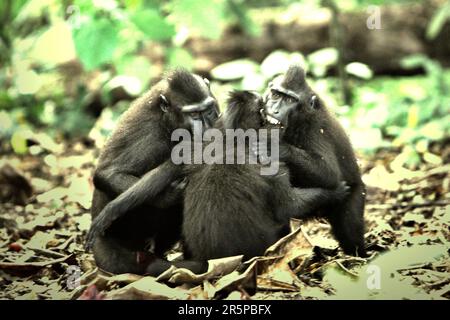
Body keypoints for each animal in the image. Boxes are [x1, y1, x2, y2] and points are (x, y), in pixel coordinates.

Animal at [87, 69, 220, 274]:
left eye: (208, 110)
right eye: (193, 114)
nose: (206, 127)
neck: (166, 120)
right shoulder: (152, 138)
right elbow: (107, 174)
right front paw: (170, 195)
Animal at [260, 63, 366, 256]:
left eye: (290, 100)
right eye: (276, 94)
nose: (275, 109)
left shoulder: (315, 127)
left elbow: (329, 173)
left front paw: (273, 144)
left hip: (356, 192)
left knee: (351, 230)